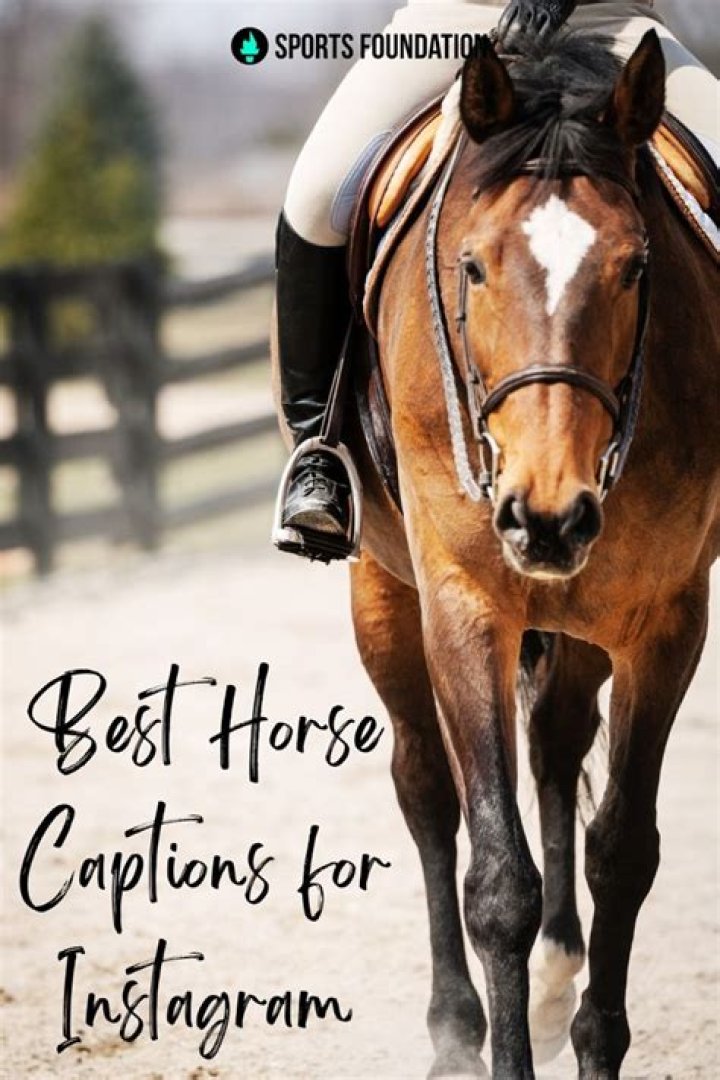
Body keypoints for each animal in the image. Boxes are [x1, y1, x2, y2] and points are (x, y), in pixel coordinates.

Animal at [273, 28, 719, 1079]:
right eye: (471, 268)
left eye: (637, 267)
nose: (546, 517)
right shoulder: (465, 605)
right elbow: (496, 881)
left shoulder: (667, 621)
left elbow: (622, 852)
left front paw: (591, 1032)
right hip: (384, 592)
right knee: (427, 791)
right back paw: (453, 1029)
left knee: (555, 747)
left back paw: (557, 981)